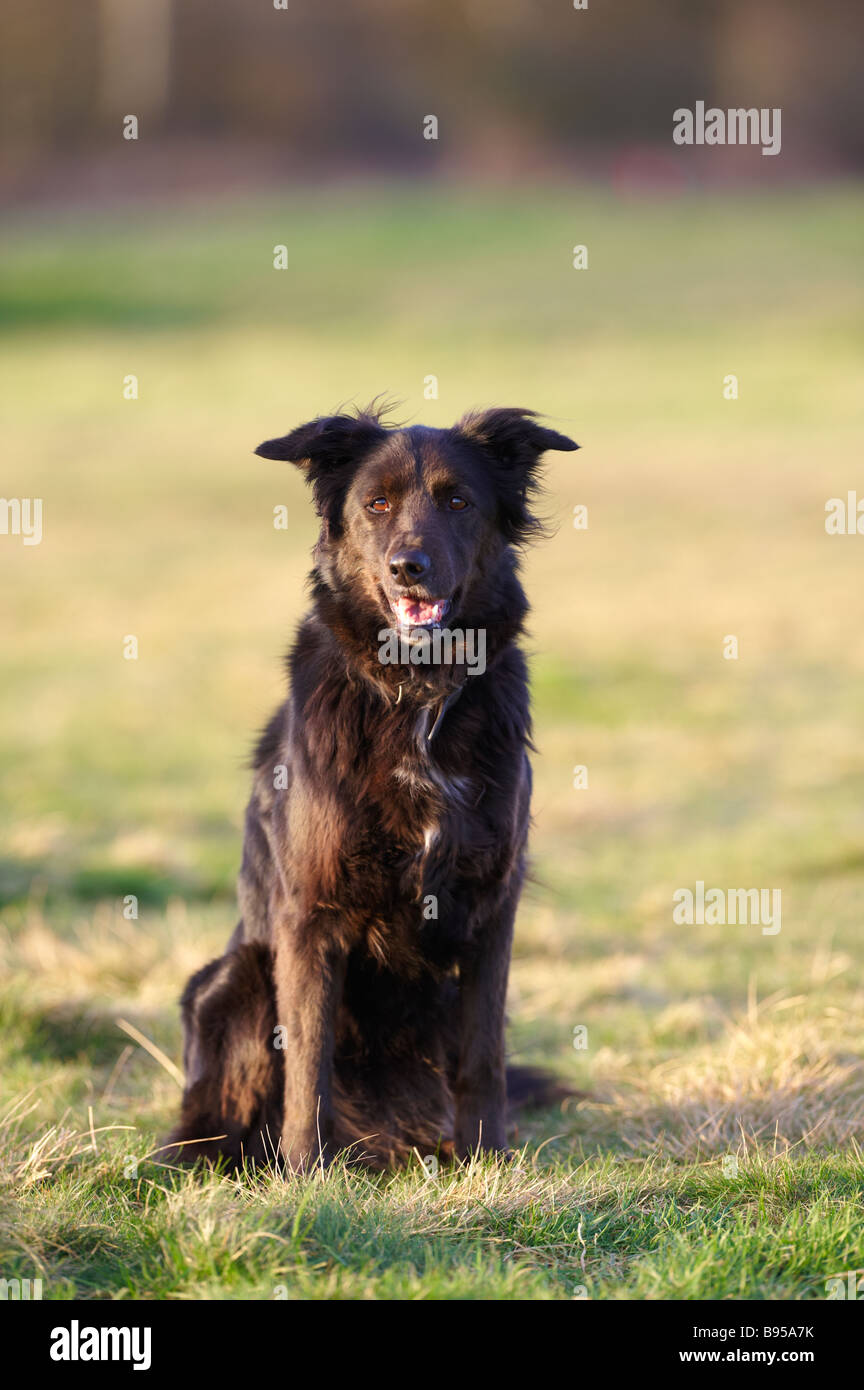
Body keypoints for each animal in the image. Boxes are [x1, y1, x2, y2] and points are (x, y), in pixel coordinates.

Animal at [166, 405, 577, 1167]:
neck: (418, 692)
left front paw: (486, 1160)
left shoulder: (490, 909)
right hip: (235, 982)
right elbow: (308, 1062)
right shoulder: (310, 915)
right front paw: (304, 1174)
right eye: (376, 504)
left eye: (458, 501)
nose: (408, 568)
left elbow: (483, 1057)